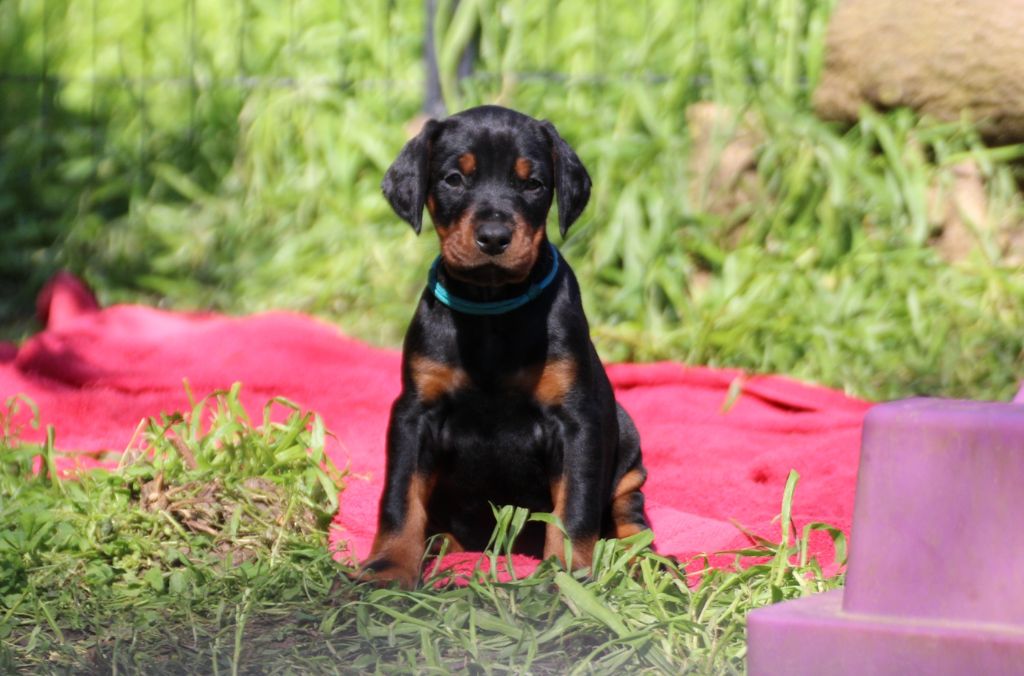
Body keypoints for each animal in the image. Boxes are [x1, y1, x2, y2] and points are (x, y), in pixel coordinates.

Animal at [362, 105, 651, 589]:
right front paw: (389, 568)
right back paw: (437, 543)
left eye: (532, 184)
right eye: (454, 179)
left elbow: (574, 508)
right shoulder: (414, 413)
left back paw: (647, 561)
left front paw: (566, 573)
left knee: (630, 515)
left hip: (627, 446)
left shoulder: (577, 421)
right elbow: (400, 497)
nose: (495, 236)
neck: (492, 306)